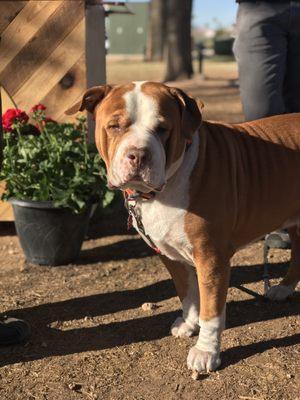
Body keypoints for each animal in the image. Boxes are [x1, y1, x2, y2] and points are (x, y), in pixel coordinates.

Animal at [66, 81, 300, 376]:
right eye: (115, 126)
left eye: (162, 128)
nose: (138, 155)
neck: (160, 191)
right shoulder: (169, 254)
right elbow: (187, 293)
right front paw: (189, 324)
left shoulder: (211, 257)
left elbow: (211, 310)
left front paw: (206, 351)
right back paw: (284, 289)